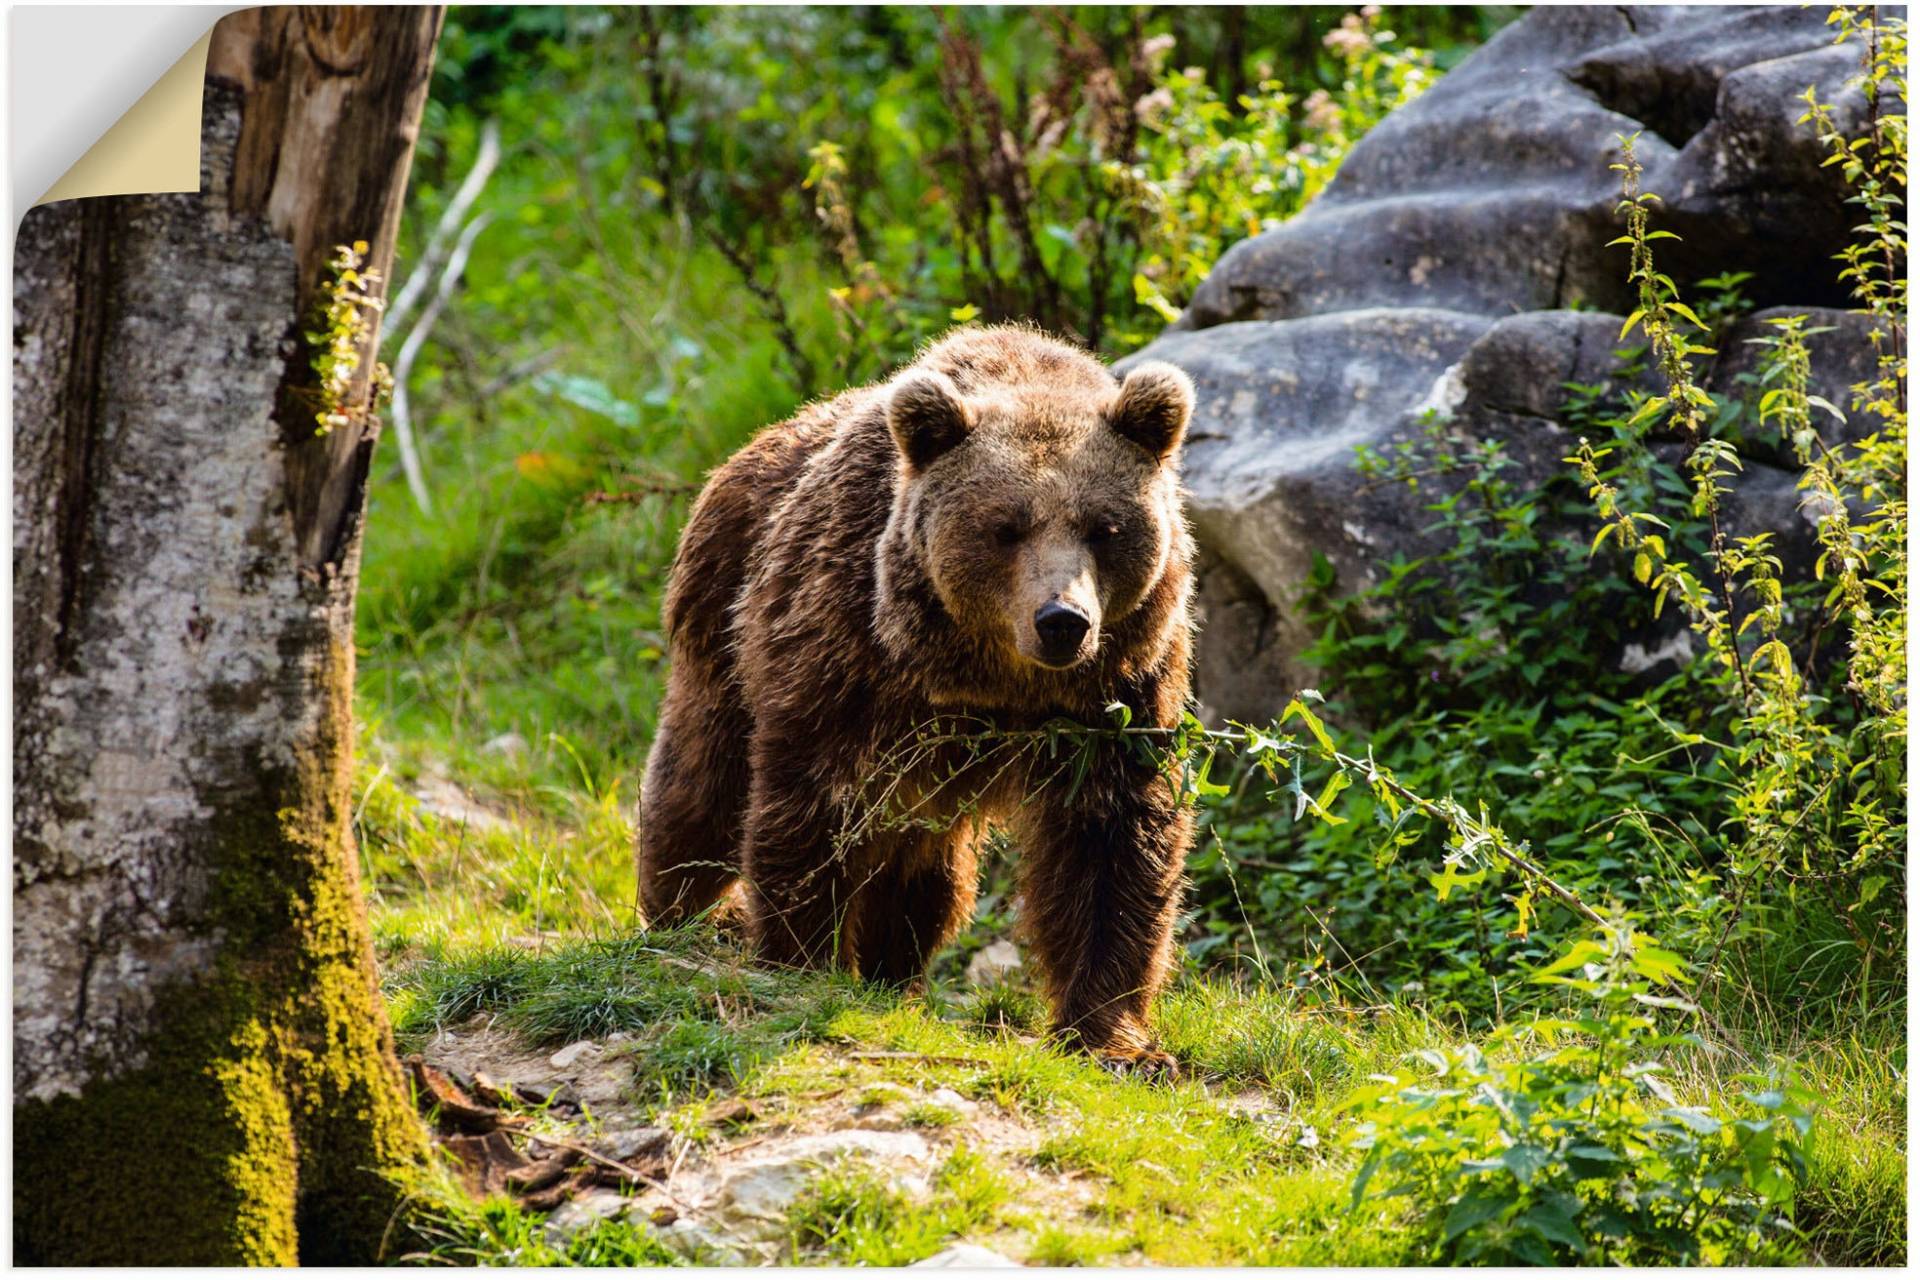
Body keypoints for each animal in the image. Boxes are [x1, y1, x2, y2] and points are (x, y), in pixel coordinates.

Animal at [637, 322, 1190, 1074]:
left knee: (927, 874)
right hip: (722, 624)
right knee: (701, 787)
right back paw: (683, 914)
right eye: (1005, 526)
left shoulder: (1119, 691)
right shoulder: (847, 654)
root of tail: (743, 452)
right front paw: (802, 960)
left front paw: (1113, 1037)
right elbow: (810, 809)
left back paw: (893, 971)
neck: (995, 679)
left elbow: (1111, 844)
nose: (1062, 620)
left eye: (1104, 527)